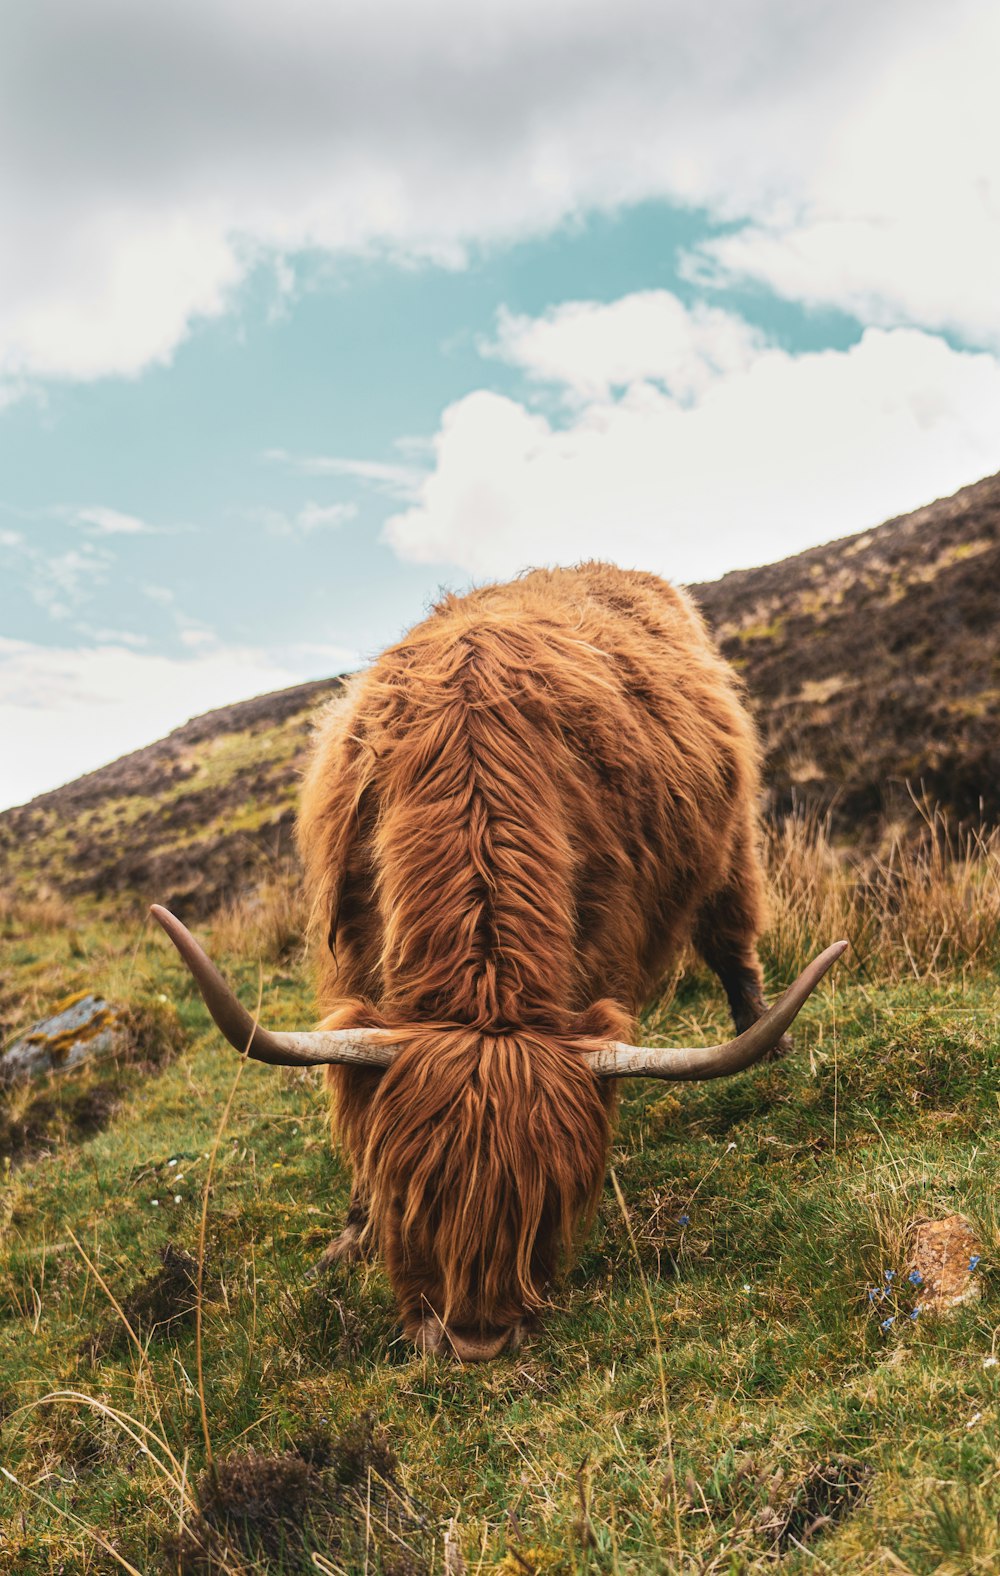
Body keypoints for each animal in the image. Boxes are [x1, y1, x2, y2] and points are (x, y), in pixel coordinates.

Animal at [156, 564, 844, 1355]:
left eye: (551, 1199)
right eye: (411, 1193)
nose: (475, 1341)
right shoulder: (357, 958)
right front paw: (350, 1237)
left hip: (729, 844)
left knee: (733, 941)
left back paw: (768, 1039)